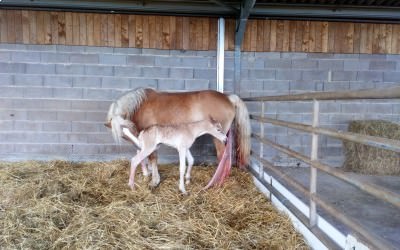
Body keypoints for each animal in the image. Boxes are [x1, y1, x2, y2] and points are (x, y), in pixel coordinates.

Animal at [105, 87, 250, 188]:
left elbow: (153, 157)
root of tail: (228, 97)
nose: (138, 145)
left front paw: (154, 181)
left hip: (218, 137)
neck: (142, 105)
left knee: (222, 156)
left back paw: (217, 181)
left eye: (124, 133)